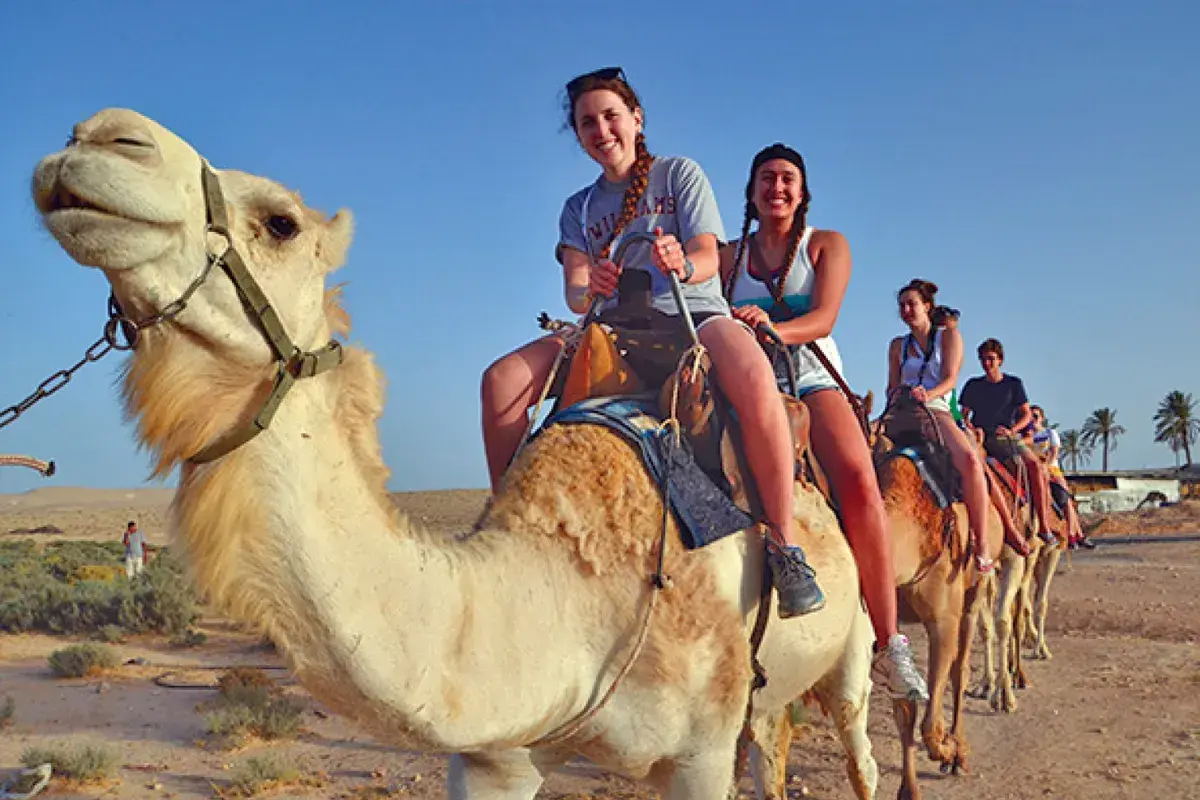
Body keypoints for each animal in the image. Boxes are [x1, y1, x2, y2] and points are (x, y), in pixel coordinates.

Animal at [31, 108, 882, 800]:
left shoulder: (699, 752)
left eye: (280, 223)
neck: (577, 593)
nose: (98, 138)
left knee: (857, 746)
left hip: (851, 648)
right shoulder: (495, 753)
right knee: (771, 744)